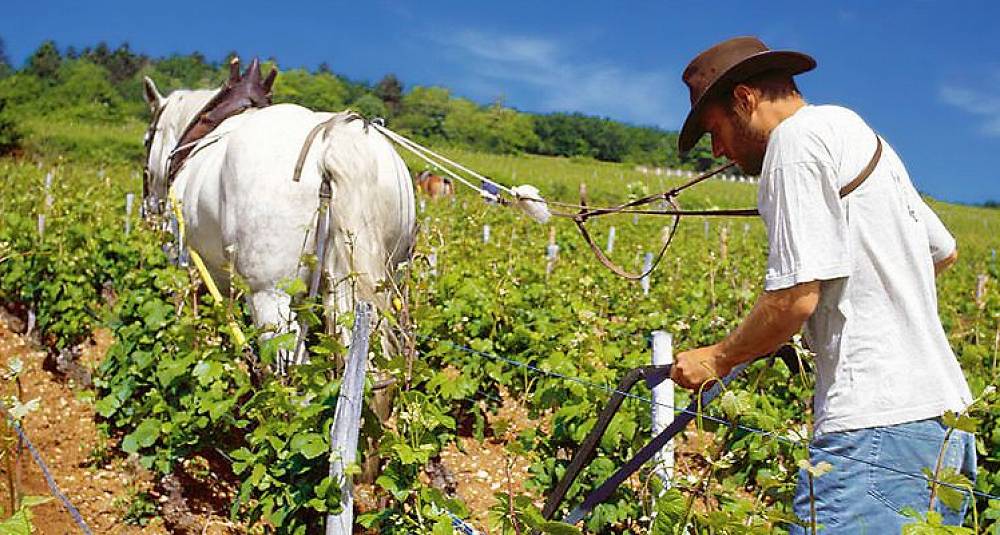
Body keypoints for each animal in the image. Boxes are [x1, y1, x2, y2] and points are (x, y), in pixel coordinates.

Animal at [140, 76, 414, 372]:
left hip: (271, 297)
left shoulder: (187, 265)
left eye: (146, 140)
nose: (147, 208)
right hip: (368, 285)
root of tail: (335, 137)